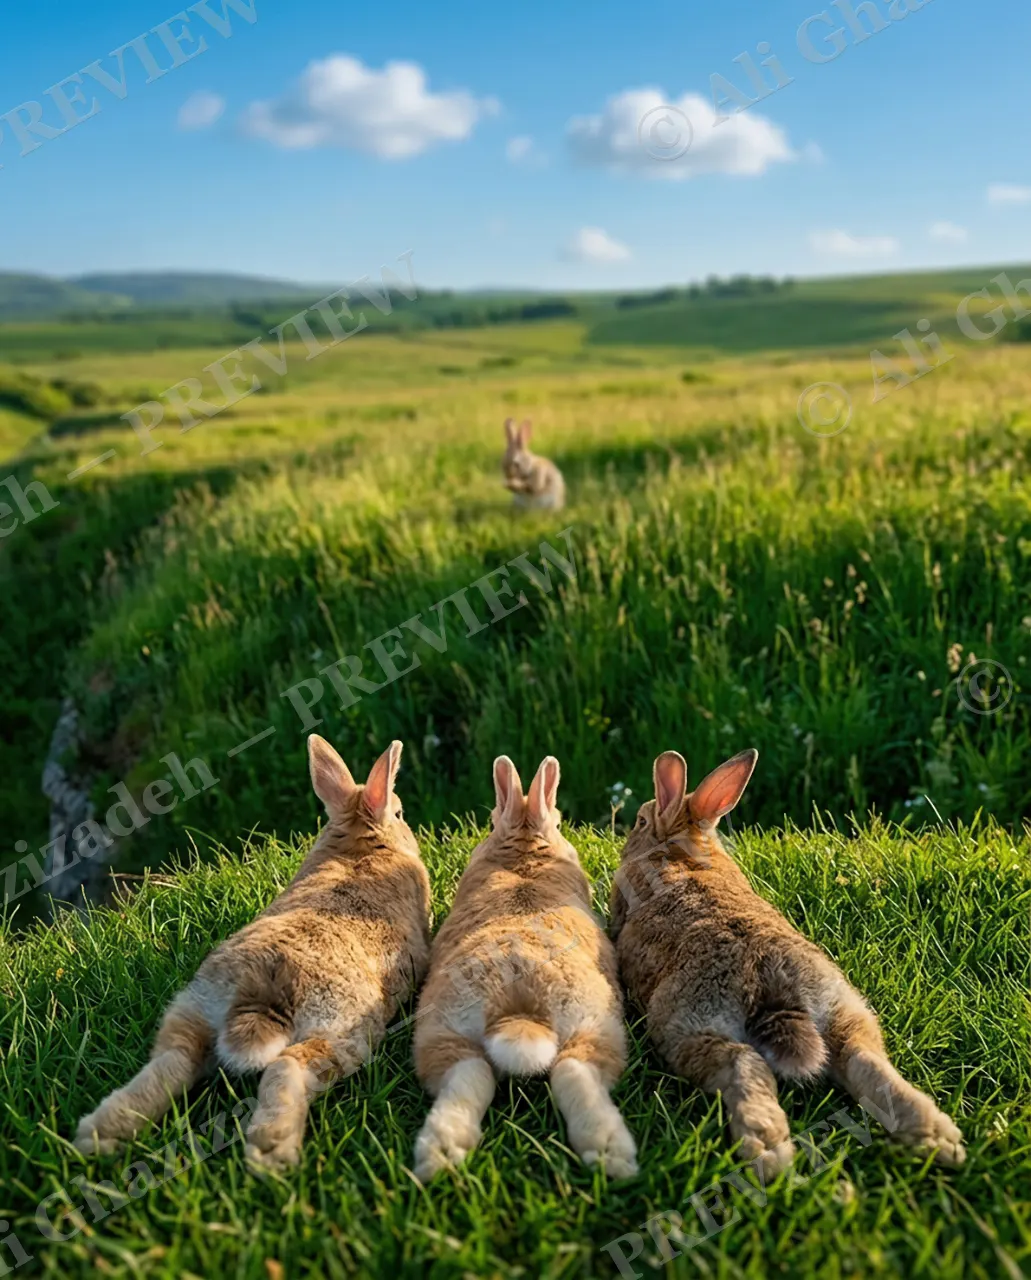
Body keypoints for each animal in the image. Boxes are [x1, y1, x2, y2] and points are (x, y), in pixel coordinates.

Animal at [74, 736, 432, 1170]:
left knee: (173, 1062)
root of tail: (261, 987)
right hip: (340, 1032)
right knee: (285, 1067)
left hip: (193, 1007)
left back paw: (96, 1136)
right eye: (398, 812)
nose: (407, 828)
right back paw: (273, 1153)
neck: (357, 846)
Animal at [411, 755, 636, 1182]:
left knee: (473, 1073)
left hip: (445, 1034)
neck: (525, 850)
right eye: (560, 824)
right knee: (571, 1069)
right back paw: (613, 1155)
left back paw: (442, 1154)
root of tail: (520, 1007)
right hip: (597, 1028)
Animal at [610, 748, 966, 1177]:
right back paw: (938, 1139)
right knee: (862, 1057)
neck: (682, 851)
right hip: (842, 1008)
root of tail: (770, 978)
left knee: (743, 1063)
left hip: (686, 1024)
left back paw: (767, 1155)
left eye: (641, 821)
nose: (632, 834)